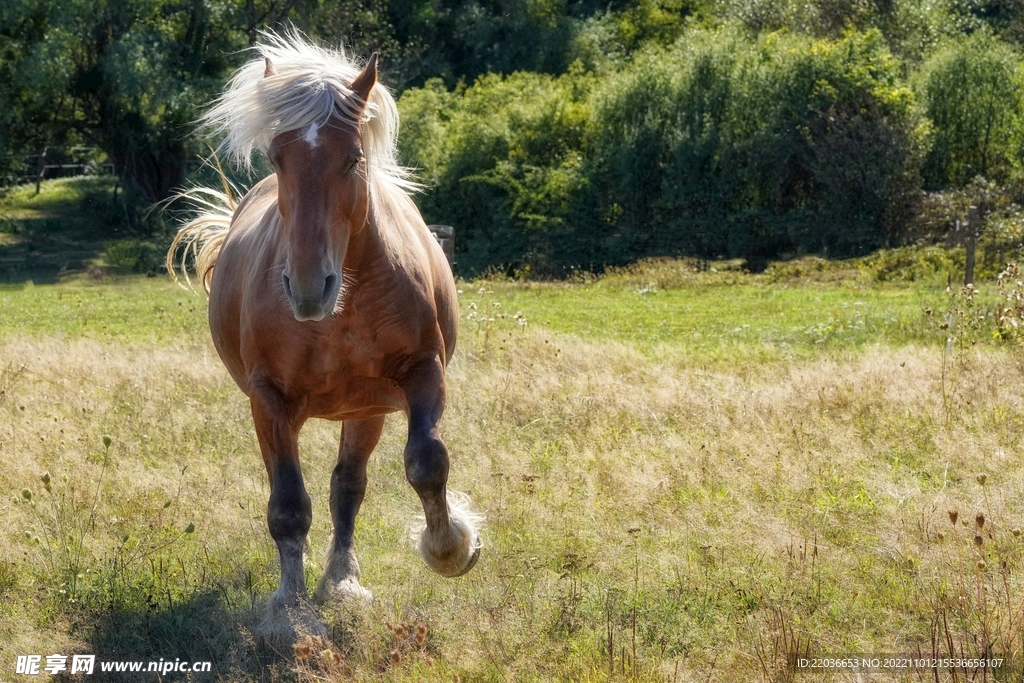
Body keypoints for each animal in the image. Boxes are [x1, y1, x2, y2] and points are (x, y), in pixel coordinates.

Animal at [166, 30, 483, 643]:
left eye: (353, 157)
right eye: (276, 157)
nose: (311, 287)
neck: (340, 314)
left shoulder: (422, 373)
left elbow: (427, 462)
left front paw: (451, 546)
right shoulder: (268, 400)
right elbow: (288, 506)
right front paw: (290, 613)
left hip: (365, 411)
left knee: (347, 488)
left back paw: (342, 582)